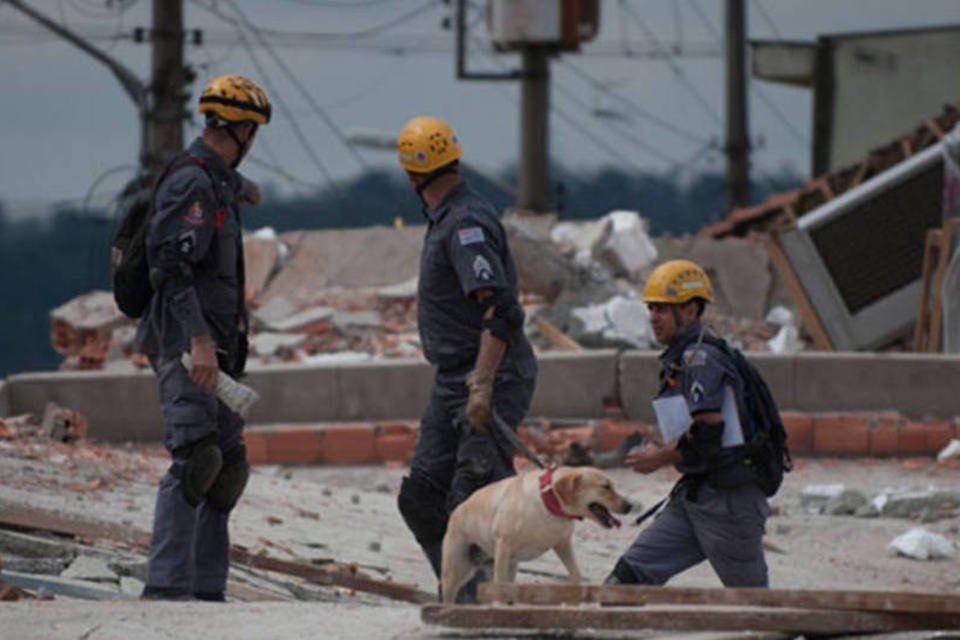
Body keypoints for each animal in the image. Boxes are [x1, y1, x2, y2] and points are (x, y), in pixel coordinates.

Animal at [440, 464, 632, 600]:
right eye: (605, 486)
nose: (629, 506)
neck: (549, 504)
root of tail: (456, 510)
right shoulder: (504, 545)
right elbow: (500, 583)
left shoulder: (562, 544)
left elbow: (576, 573)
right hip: (457, 569)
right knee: (450, 591)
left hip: (506, 566)